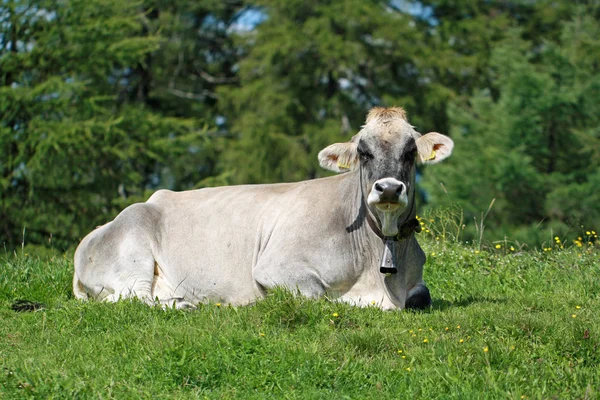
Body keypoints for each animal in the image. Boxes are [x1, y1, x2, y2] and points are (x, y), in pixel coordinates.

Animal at [72, 108, 452, 310]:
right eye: (363, 152)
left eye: (409, 152)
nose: (388, 188)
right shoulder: (276, 267)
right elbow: (320, 297)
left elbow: (422, 296)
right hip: (131, 259)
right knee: (132, 300)